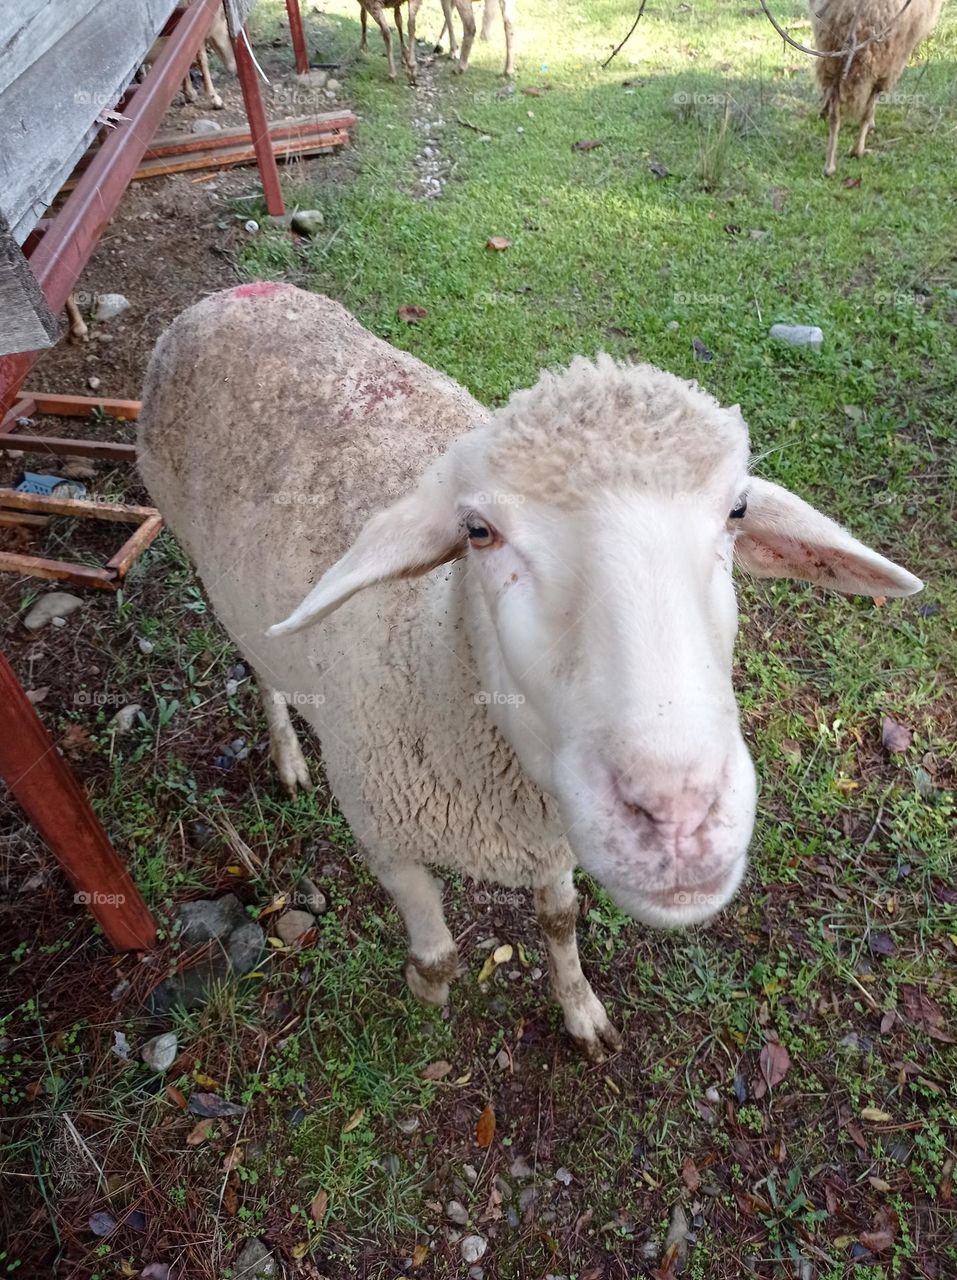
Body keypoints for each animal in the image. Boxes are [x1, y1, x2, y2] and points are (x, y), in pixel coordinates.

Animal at [138, 283, 922, 1058]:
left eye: (737, 511)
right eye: (478, 532)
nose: (678, 815)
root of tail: (232, 294)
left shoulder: (551, 835)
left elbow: (559, 922)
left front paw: (580, 1011)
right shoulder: (383, 833)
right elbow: (440, 957)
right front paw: (423, 990)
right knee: (261, 669)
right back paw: (288, 756)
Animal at [809, 0, 943, 176]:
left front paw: (823, 110)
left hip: (833, 54)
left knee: (835, 113)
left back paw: (830, 166)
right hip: (886, 60)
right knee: (868, 107)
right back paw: (857, 150)